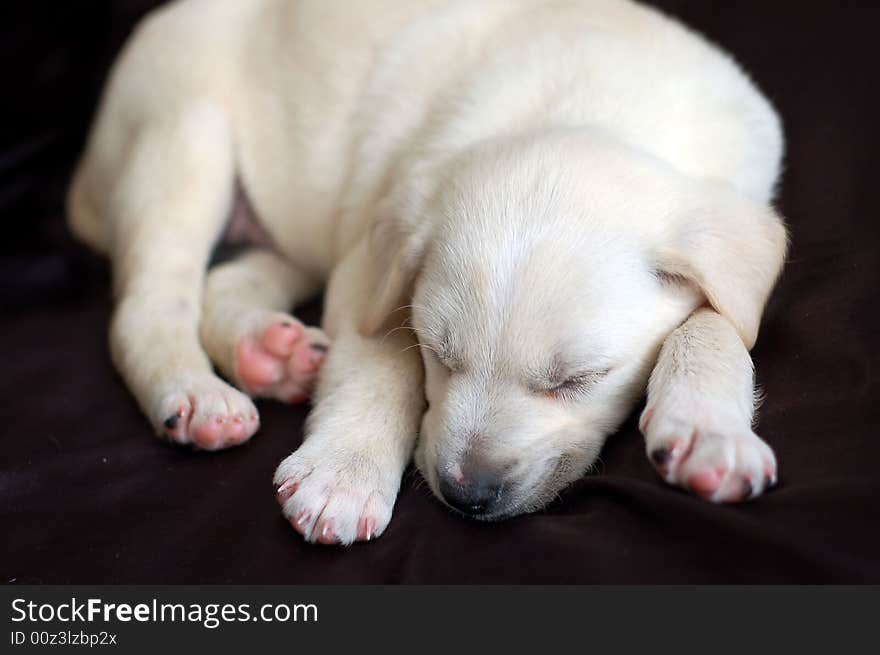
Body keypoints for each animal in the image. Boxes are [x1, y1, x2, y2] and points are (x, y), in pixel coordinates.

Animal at [67, 0, 784, 544]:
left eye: (579, 380)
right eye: (439, 354)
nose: (468, 495)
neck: (592, 105)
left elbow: (716, 329)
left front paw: (708, 430)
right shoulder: (368, 268)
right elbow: (378, 363)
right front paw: (343, 474)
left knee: (226, 281)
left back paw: (269, 353)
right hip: (180, 137)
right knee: (149, 305)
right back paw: (198, 395)